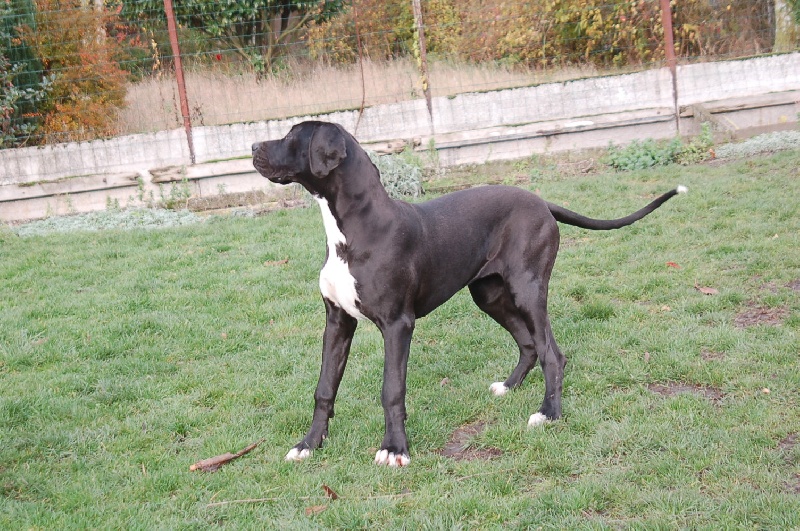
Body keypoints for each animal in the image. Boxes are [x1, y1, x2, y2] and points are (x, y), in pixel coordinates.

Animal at [252, 120, 686, 467]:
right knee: (531, 344)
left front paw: (395, 448)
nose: (253, 146)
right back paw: (509, 387)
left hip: (528, 289)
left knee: (551, 352)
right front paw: (309, 445)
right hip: (489, 295)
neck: (353, 228)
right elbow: (324, 387)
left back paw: (548, 413)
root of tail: (540, 201)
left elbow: (392, 389)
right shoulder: (337, 321)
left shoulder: (397, 324)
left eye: (291, 136)